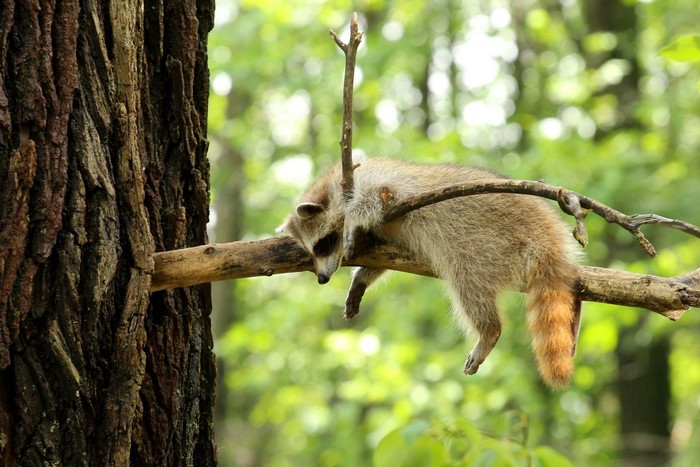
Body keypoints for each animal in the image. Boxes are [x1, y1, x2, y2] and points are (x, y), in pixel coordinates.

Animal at [279, 157, 581, 388]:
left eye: (322, 245)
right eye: (311, 251)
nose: (321, 279)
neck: (338, 186)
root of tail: (545, 232)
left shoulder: (379, 183)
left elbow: (374, 199)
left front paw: (353, 220)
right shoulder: (382, 237)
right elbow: (383, 259)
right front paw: (361, 279)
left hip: (484, 246)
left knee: (467, 286)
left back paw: (489, 331)